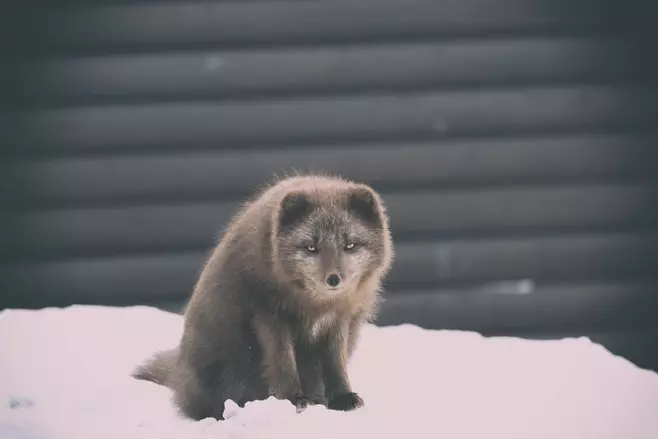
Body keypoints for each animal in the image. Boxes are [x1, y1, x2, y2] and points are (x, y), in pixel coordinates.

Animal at [132, 174, 395, 420]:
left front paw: (342, 397)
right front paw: (293, 400)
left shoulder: (340, 319)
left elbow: (335, 363)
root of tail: (178, 372)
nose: (333, 279)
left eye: (350, 245)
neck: (315, 306)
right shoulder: (269, 316)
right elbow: (282, 361)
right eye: (311, 247)